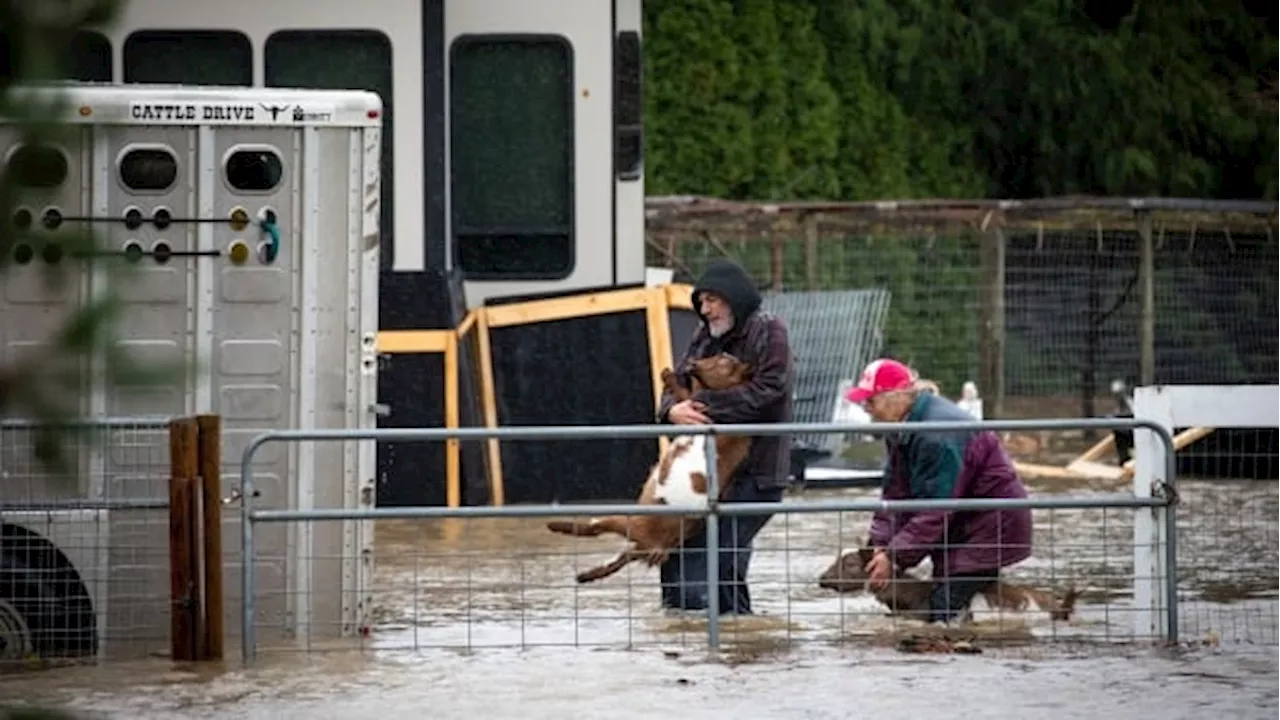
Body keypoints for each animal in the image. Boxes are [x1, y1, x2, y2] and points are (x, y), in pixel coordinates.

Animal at [545, 353, 752, 584]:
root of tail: (656, 546)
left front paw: (667, 374)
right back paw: (585, 576)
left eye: (725, 361)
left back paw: (555, 525)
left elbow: (687, 393)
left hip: (628, 522)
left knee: (595, 528)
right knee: (618, 560)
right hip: (637, 546)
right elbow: (686, 396)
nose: (692, 363)